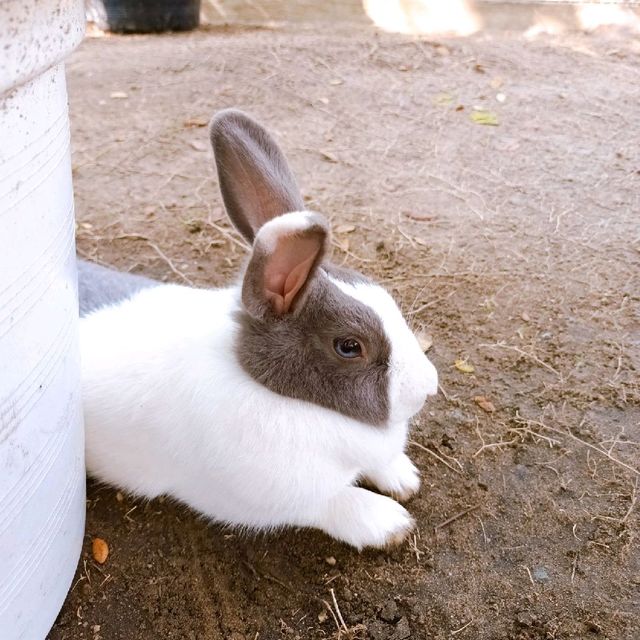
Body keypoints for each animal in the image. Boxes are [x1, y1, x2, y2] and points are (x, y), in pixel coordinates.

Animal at [77, 107, 438, 548]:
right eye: (349, 346)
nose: (429, 386)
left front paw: (404, 477)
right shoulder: (278, 499)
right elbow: (336, 502)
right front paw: (390, 523)